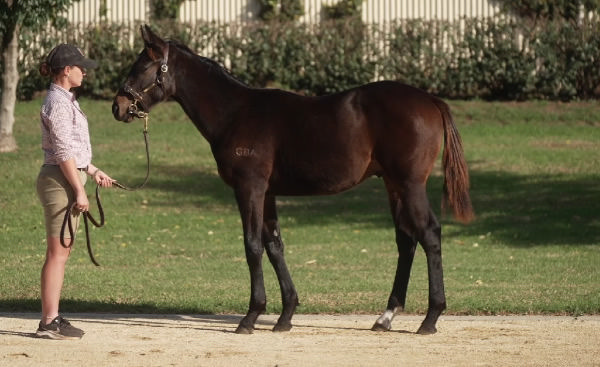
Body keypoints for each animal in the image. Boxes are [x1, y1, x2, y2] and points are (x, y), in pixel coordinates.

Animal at [112, 25, 474, 336]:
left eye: (142, 66)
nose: (118, 106)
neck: (235, 113)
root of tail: (430, 100)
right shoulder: (268, 193)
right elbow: (274, 245)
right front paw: (285, 315)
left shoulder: (249, 188)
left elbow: (252, 245)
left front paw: (251, 316)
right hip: (393, 184)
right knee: (406, 240)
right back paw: (386, 317)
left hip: (410, 184)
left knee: (429, 234)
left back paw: (430, 317)